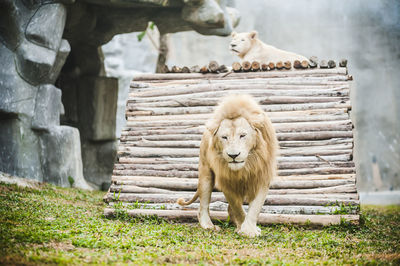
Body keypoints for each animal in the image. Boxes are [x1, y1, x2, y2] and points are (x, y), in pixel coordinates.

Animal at [178, 95, 278, 237]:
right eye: (224, 137)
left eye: (242, 135)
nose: (233, 155)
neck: (246, 165)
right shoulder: (226, 181)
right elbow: (237, 208)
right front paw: (244, 229)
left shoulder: (262, 177)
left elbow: (255, 207)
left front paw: (249, 230)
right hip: (205, 172)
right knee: (203, 204)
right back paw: (209, 226)